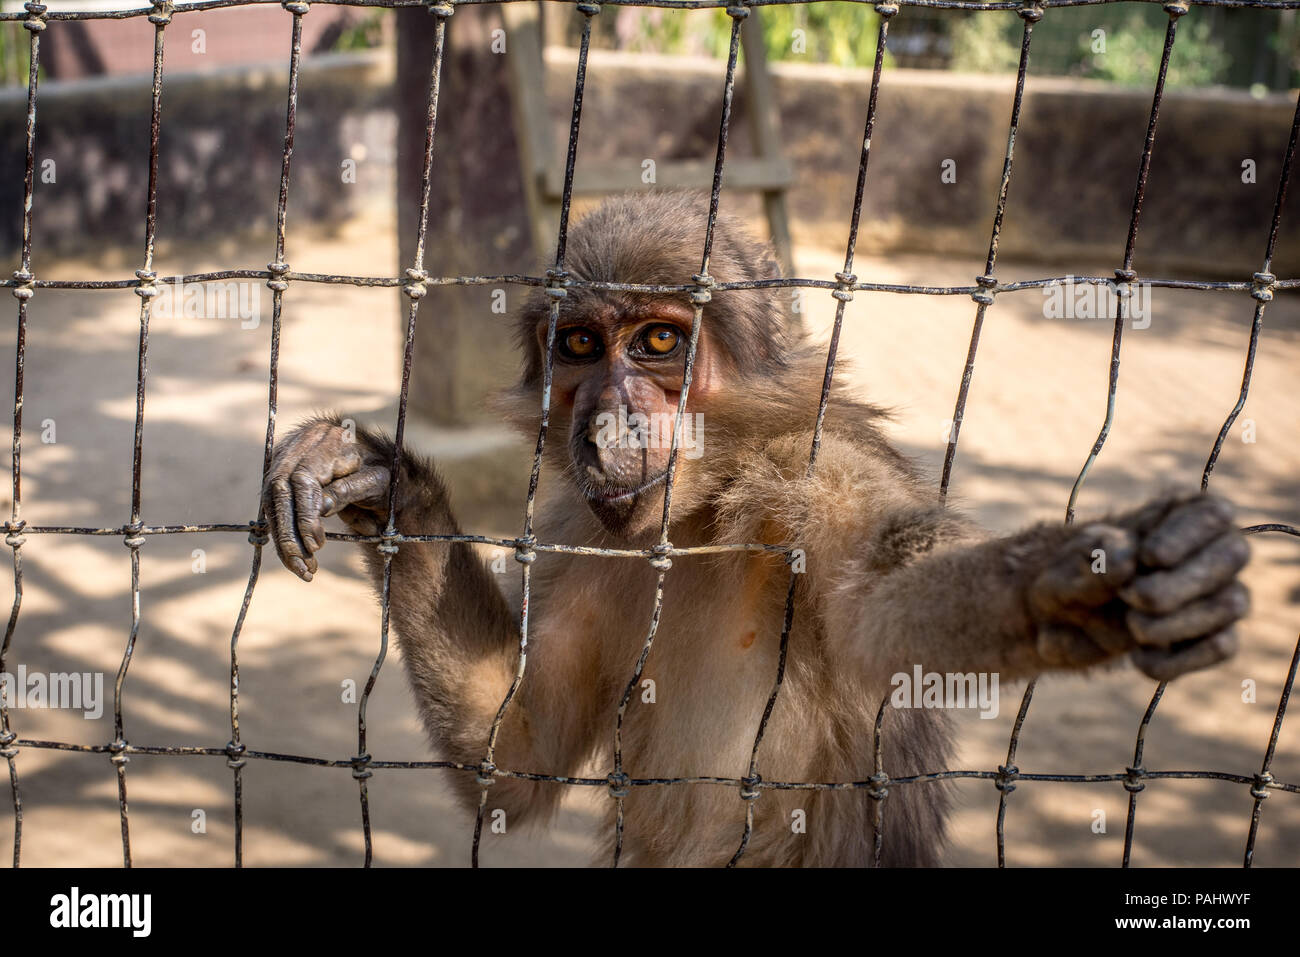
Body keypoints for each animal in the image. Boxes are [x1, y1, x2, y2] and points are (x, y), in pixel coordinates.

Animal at [263, 191, 1248, 863]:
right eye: (579, 346)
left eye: (659, 343)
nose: (607, 423)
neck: (702, 513)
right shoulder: (586, 534)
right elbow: (515, 758)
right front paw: (385, 489)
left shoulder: (811, 477)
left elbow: (882, 596)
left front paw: (1075, 584)